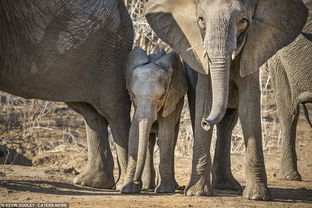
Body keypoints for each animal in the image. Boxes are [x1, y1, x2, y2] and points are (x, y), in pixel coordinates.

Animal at [120, 47, 186, 193]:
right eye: (133, 95)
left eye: (162, 96)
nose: (136, 180)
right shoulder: (136, 107)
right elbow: (134, 134)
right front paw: (128, 189)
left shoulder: (171, 100)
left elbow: (165, 134)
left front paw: (165, 190)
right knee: (149, 143)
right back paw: (147, 186)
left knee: (171, 140)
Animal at [145, 0, 308, 200]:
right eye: (201, 20)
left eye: (243, 21)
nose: (205, 122)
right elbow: (204, 101)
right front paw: (197, 193)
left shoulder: (254, 49)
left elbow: (249, 107)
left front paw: (257, 196)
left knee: (228, 121)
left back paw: (226, 185)